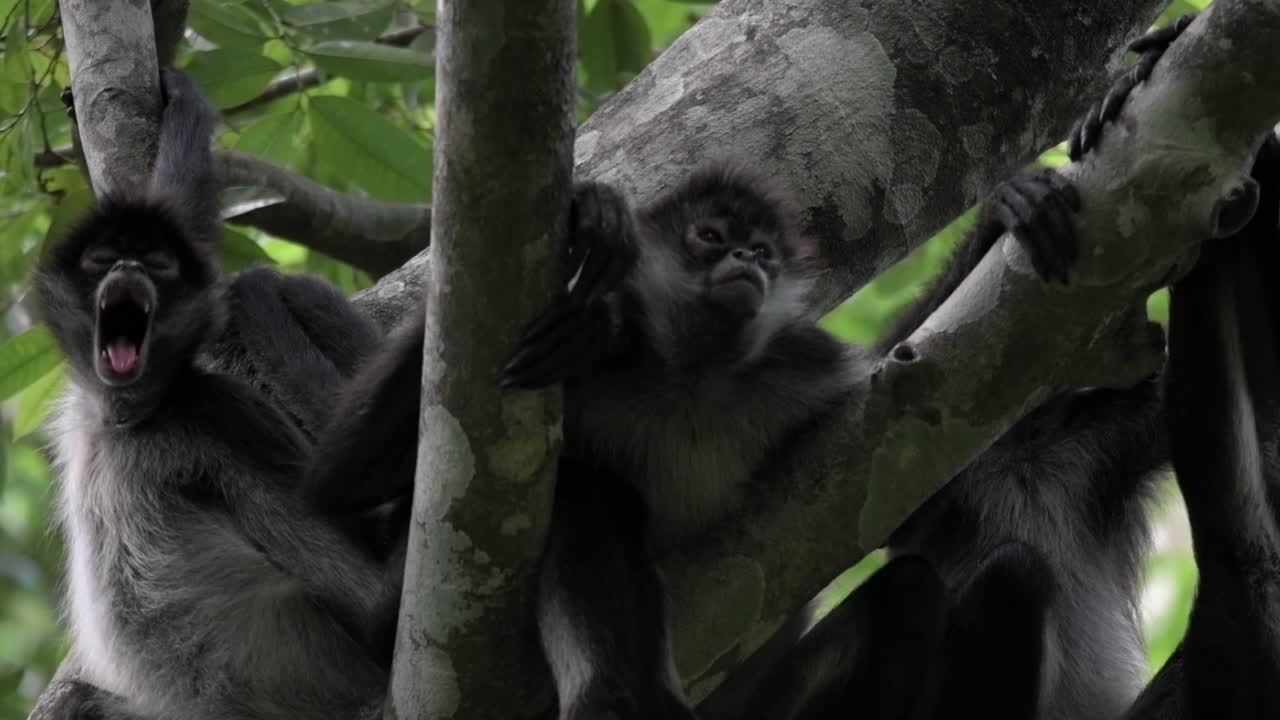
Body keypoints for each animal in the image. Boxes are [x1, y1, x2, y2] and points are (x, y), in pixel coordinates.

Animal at [35, 67, 400, 720]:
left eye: (156, 264)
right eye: (104, 258)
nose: (127, 269)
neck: (127, 420)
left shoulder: (221, 411)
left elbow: (375, 601)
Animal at [497, 157, 1125, 719]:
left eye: (762, 251)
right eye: (710, 236)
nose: (745, 258)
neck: (697, 377)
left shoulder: (802, 367)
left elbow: (906, 499)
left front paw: (1005, 210)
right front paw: (591, 222)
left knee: (909, 592)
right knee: (592, 487)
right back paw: (620, 698)